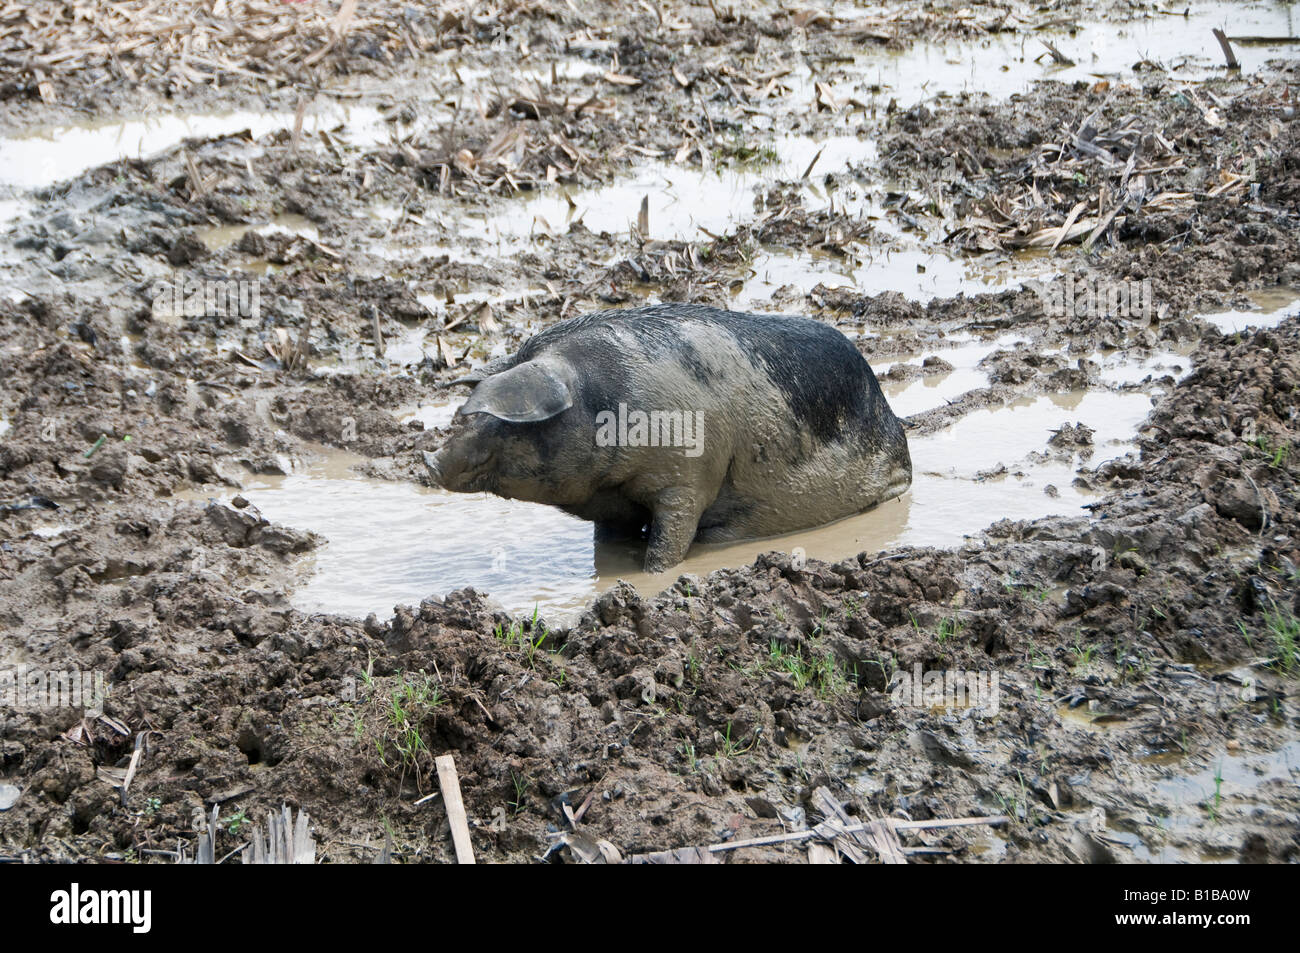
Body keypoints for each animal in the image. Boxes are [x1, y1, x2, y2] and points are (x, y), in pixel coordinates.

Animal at [421, 304, 909, 572]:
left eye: (504, 422)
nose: (430, 461)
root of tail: (894, 420)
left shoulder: (686, 482)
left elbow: (669, 543)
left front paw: (652, 576)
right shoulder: (613, 505)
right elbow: (607, 547)